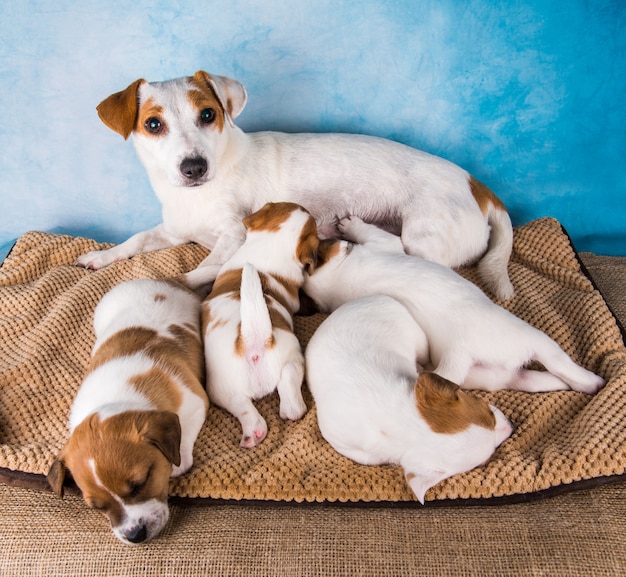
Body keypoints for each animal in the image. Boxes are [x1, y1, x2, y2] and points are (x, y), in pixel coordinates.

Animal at [45, 280, 210, 544]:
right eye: (97, 507)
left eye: (139, 484)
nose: (135, 535)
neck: (118, 397)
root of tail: (163, 280)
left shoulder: (195, 402)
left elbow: (183, 442)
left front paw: (178, 462)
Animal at [75, 70, 512, 300]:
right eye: (153, 124)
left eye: (208, 114)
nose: (194, 167)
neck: (196, 196)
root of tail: (478, 186)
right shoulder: (173, 230)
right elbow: (135, 240)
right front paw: (102, 256)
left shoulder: (234, 234)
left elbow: (208, 265)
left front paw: (186, 280)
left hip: (422, 238)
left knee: (398, 248)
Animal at [302, 216, 604, 396]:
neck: (338, 276)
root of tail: (461, 349)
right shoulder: (383, 244)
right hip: (534, 340)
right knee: (561, 363)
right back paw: (593, 382)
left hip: (496, 377)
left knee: (539, 378)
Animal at [304, 294, 512, 502]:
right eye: (484, 461)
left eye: (487, 408)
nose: (512, 425)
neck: (400, 420)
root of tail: (363, 299)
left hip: (418, 339)